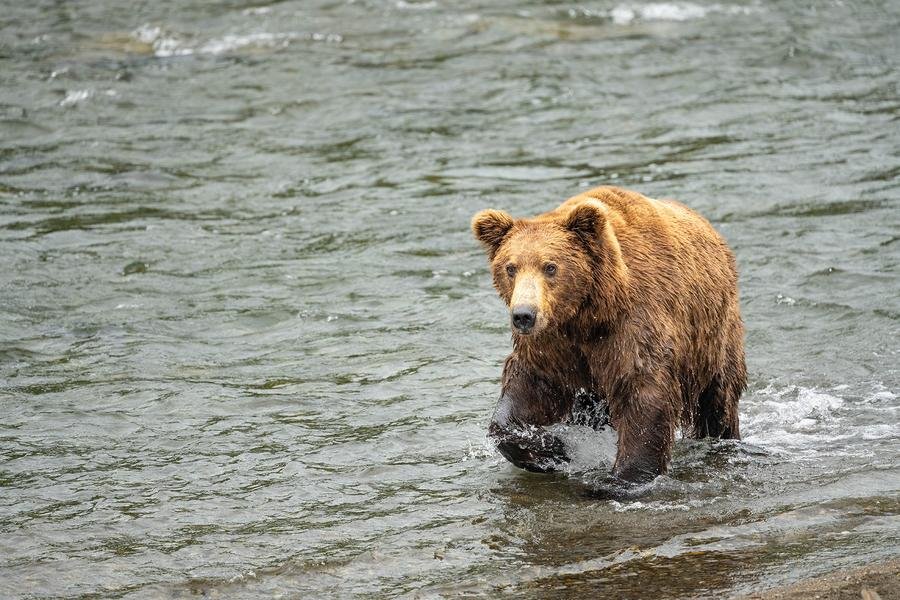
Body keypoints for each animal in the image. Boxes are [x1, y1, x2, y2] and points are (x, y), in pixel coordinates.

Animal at [472, 186, 746, 483]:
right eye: (510, 267)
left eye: (550, 266)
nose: (524, 315)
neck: (588, 315)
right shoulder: (553, 344)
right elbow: (528, 389)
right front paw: (553, 450)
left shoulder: (632, 326)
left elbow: (643, 393)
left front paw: (624, 477)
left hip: (714, 337)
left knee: (719, 401)